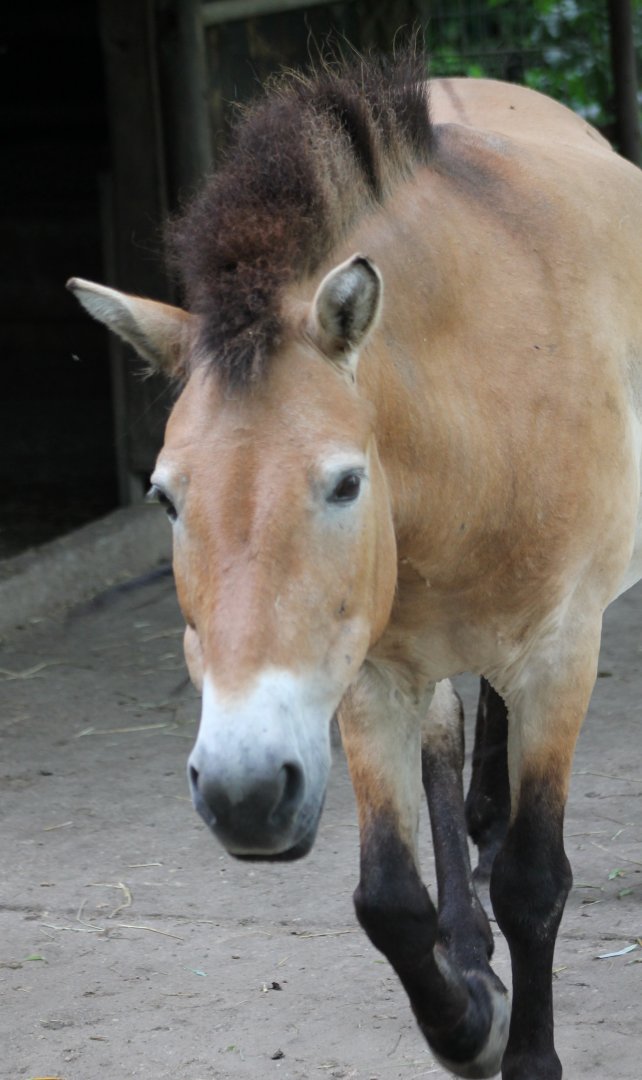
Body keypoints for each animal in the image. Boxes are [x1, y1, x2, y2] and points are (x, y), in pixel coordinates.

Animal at [68, 54, 642, 1080]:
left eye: (343, 484)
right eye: (166, 498)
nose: (245, 794)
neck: (474, 412)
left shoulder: (562, 652)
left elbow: (537, 882)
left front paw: (527, 1051)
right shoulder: (370, 675)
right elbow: (388, 899)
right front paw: (469, 1017)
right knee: (449, 747)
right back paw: (469, 929)